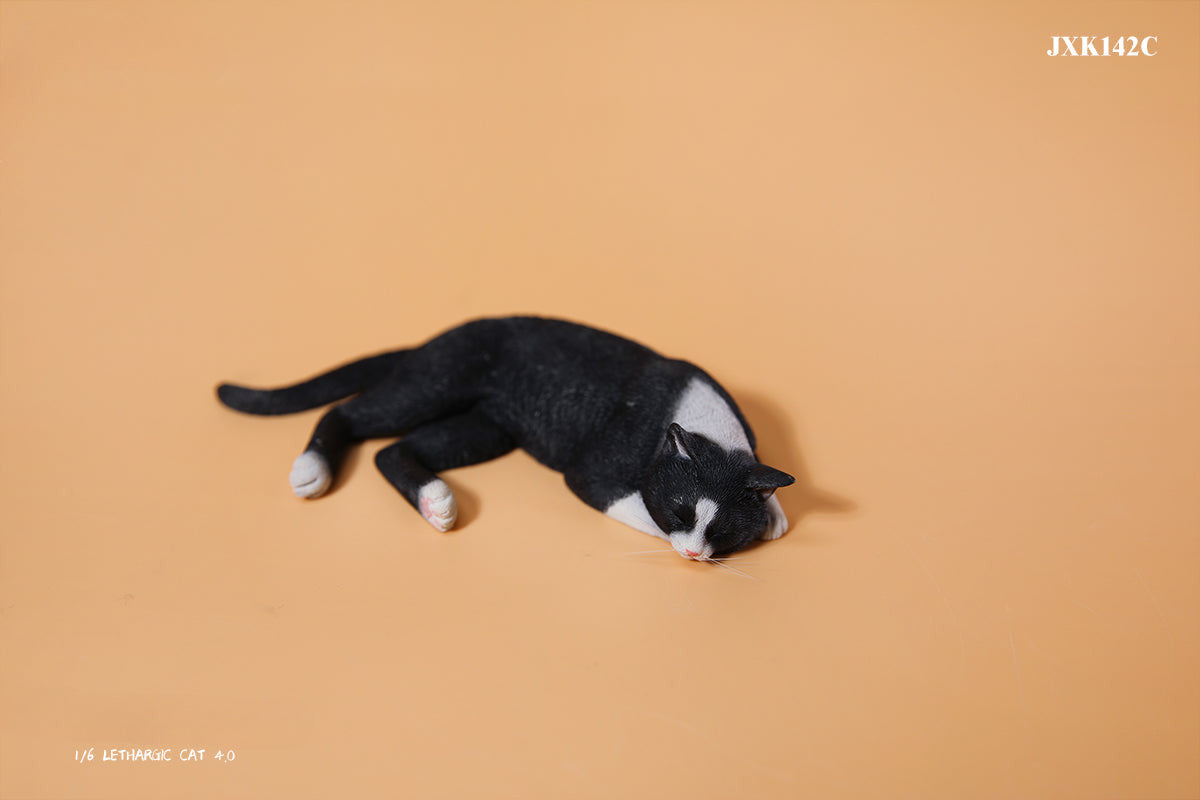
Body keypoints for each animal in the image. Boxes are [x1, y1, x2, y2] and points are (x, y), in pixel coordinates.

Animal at [216, 316, 796, 561]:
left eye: (723, 533)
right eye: (678, 511)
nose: (696, 555)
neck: (701, 423)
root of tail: (428, 340)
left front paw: (773, 514)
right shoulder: (594, 473)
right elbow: (631, 503)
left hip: (484, 429)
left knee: (393, 450)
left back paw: (436, 502)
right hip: (436, 380)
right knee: (349, 415)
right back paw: (310, 468)